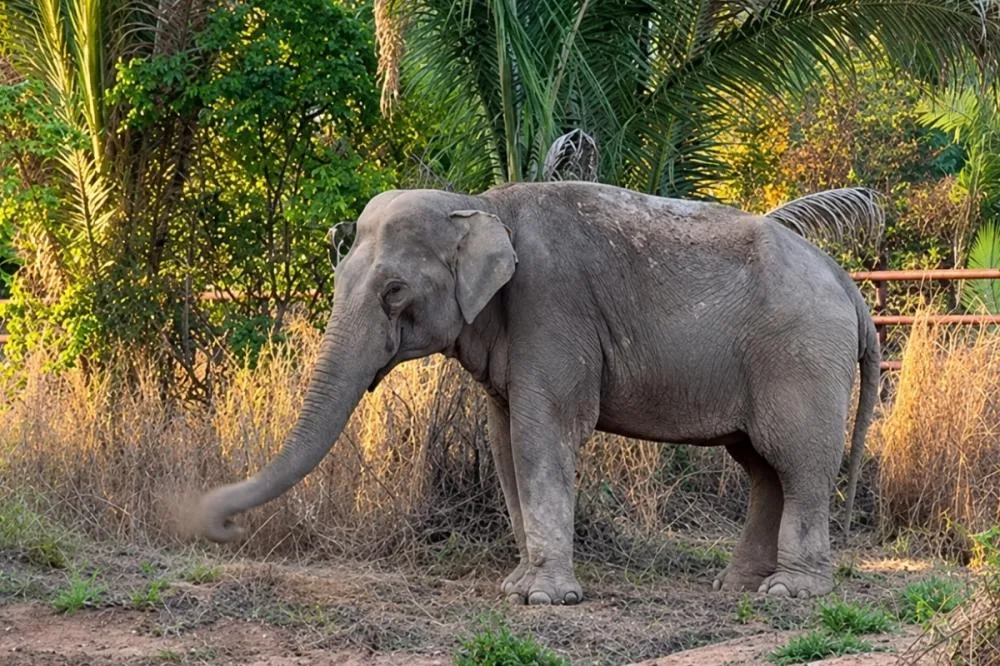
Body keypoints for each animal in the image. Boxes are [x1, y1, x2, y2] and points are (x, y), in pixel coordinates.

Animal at [195, 181, 880, 604]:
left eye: (394, 291)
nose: (220, 525)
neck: (477, 204)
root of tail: (849, 284)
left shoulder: (552, 310)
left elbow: (542, 432)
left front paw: (545, 599)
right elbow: (504, 442)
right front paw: (516, 587)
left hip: (802, 357)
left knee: (797, 461)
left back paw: (791, 593)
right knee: (761, 464)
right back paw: (737, 588)